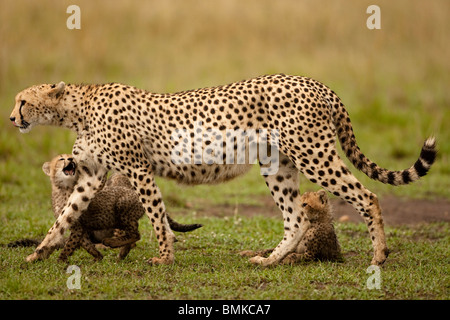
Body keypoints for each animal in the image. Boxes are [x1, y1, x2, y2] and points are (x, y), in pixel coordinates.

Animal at [9, 74, 436, 264]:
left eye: (22, 101)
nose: (12, 118)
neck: (76, 109)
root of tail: (314, 82)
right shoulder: (90, 175)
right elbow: (64, 217)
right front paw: (36, 255)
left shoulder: (139, 169)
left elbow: (157, 217)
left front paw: (165, 258)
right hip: (278, 165)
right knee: (296, 217)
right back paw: (271, 260)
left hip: (314, 155)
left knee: (367, 195)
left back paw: (379, 255)